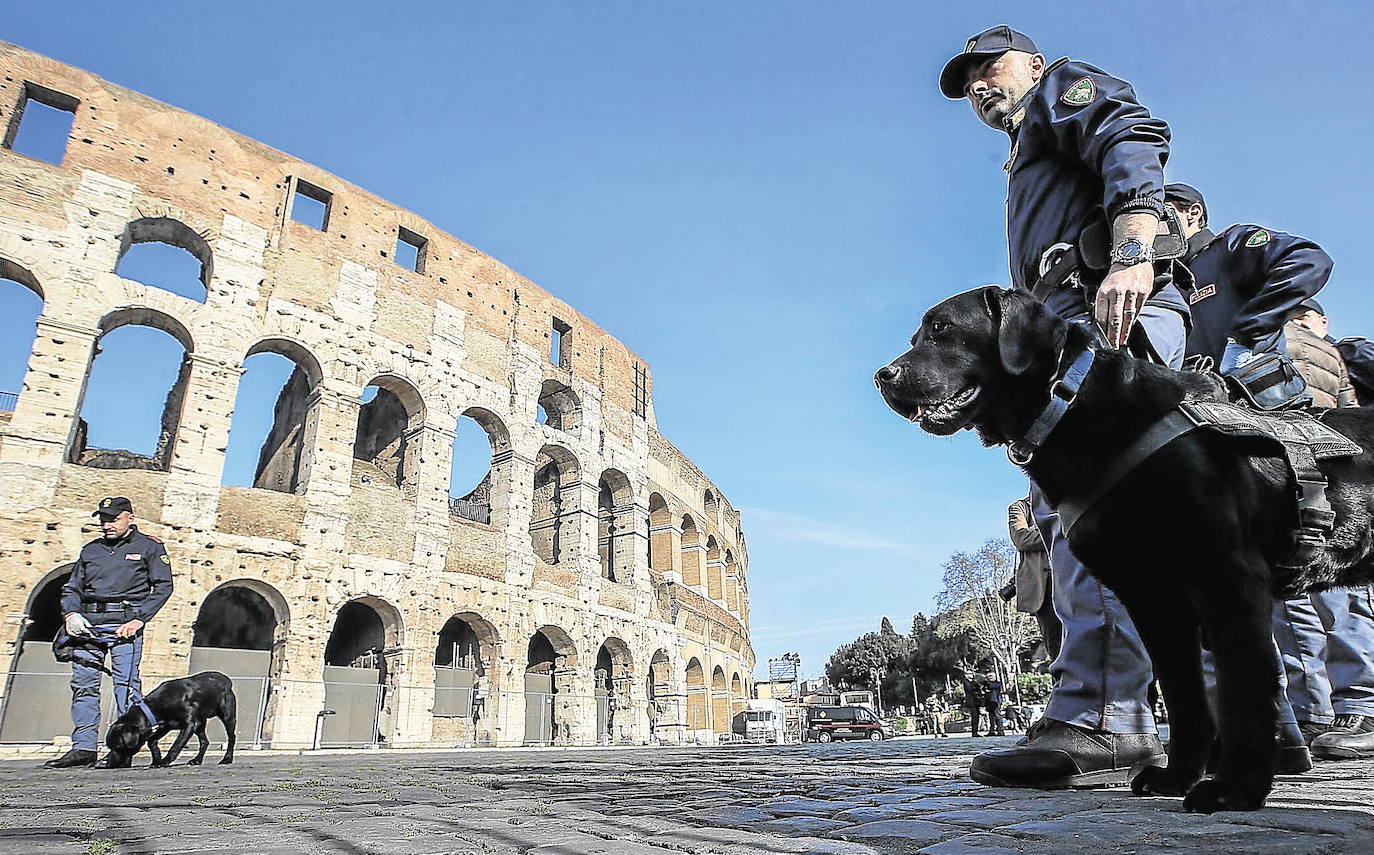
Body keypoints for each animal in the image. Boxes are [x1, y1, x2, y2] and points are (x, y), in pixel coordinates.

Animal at [103, 670, 236, 769]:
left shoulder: (189, 725)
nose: (109, 764)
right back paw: (197, 760)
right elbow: (151, 741)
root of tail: (226, 680)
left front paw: (165, 761)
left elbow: (176, 745)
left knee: (231, 738)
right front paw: (156, 760)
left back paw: (227, 759)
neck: (155, 706)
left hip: (227, 716)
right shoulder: (166, 726)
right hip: (200, 723)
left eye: (118, 747)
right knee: (205, 742)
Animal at [873, 285, 1374, 808]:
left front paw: (1234, 787)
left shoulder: (1229, 578)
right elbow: (1185, 696)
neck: (1070, 405)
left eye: (942, 329)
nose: (881, 377)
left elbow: (1244, 690)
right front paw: (1177, 777)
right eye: (915, 337)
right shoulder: (1153, 598)